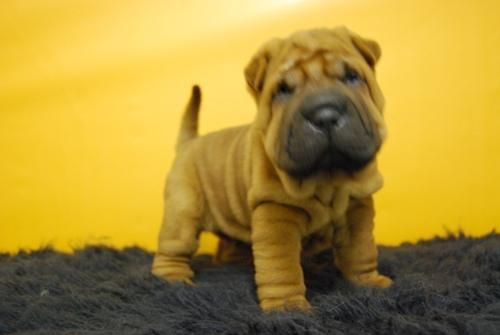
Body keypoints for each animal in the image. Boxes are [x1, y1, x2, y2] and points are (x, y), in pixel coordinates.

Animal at [150, 26, 392, 312]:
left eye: (352, 77)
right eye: (283, 90)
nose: (324, 114)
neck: (326, 179)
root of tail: (189, 144)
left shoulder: (357, 209)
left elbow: (361, 251)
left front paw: (368, 283)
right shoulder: (277, 213)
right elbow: (281, 267)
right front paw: (287, 306)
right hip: (183, 212)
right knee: (173, 248)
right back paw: (173, 278)